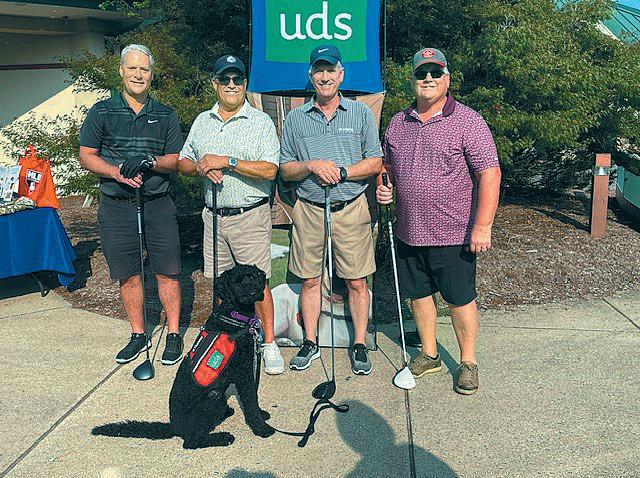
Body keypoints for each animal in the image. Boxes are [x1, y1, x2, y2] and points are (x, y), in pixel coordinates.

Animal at [169, 264, 275, 449]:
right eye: (237, 281)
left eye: (253, 277)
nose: (252, 293)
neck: (234, 316)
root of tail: (174, 426)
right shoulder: (243, 373)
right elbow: (251, 400)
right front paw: (261, 428)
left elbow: (253, 396)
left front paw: (261, 414)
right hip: (213, 397)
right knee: (191, 441)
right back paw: (223, 437)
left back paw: (226, 412)